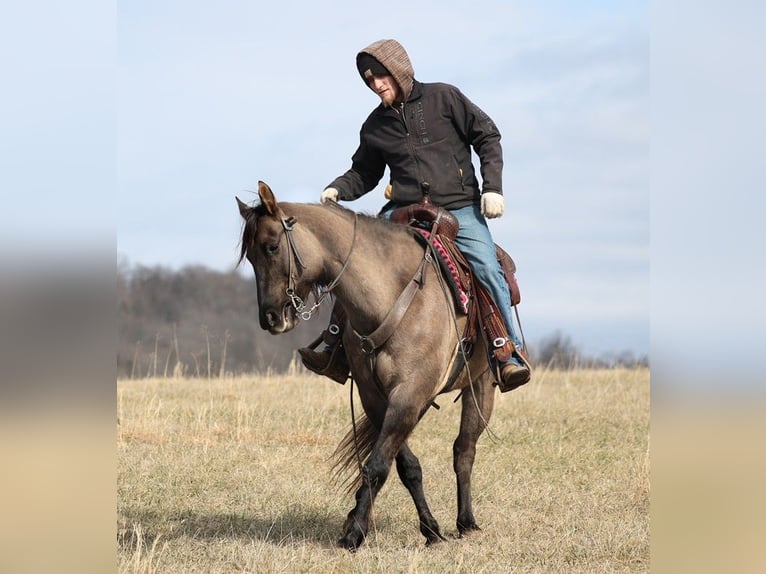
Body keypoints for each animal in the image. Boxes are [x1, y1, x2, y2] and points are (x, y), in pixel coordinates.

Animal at [237, 182, 498, 552]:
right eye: (250, 256)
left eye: (272, 247)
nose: (271, 318)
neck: (388, 297)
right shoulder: (377, 397)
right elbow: (403, 466)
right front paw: (429, 529)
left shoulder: (409, 394)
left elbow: (377, 465)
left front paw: (355, 533)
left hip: (482, 385)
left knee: (464, 450)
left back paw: (467, 522)